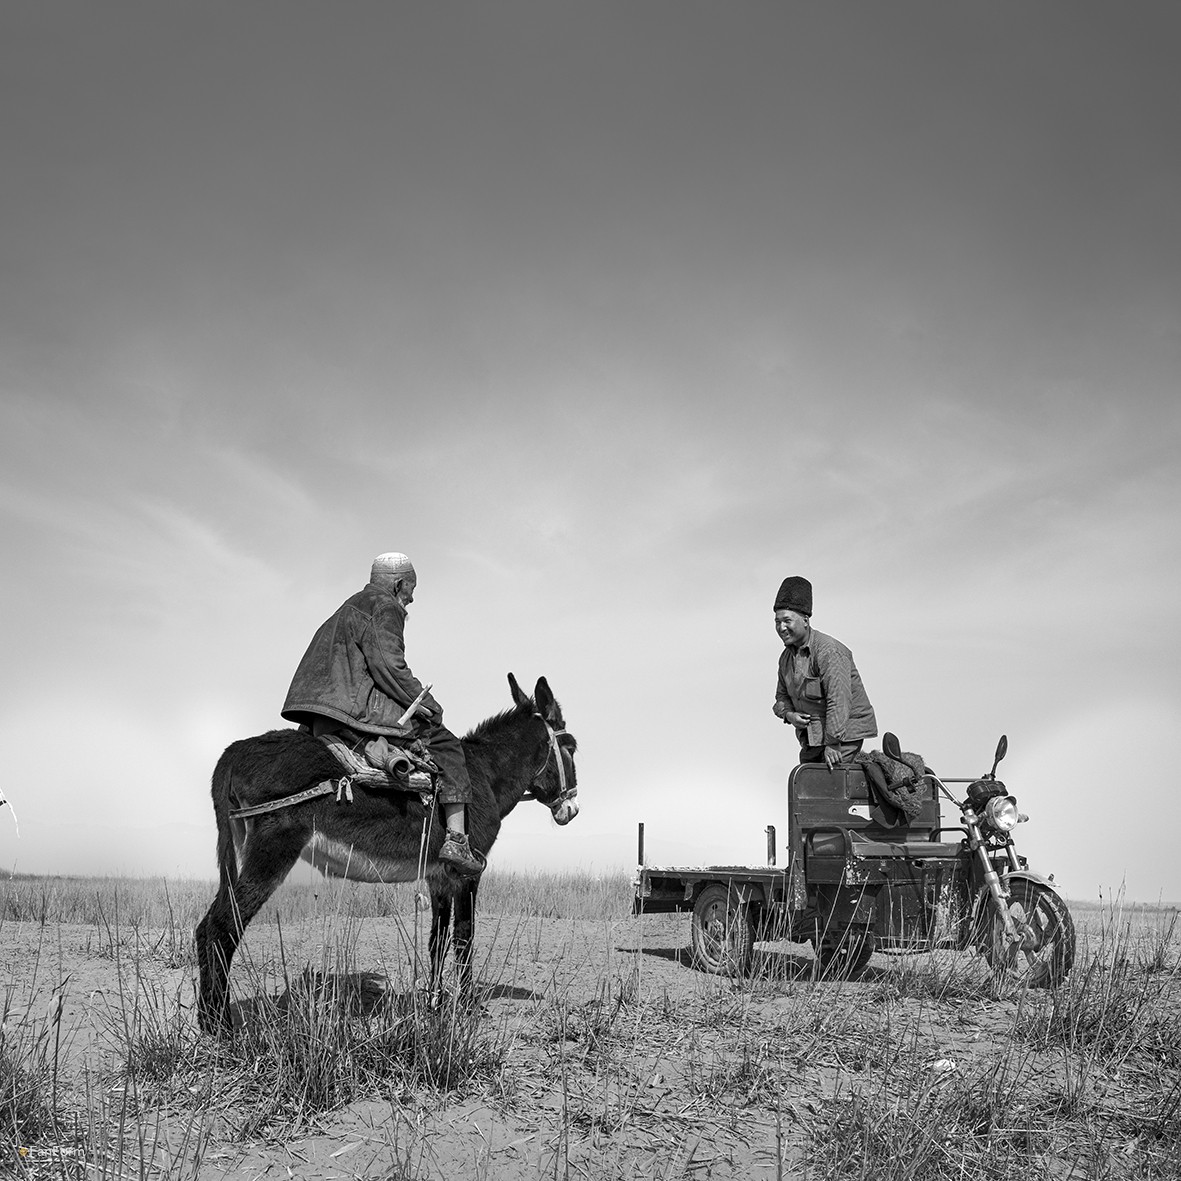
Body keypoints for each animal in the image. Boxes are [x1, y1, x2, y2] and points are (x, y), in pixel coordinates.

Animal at [195, 674, 578, 1033]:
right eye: (572, 748)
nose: (571, 810)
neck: (485, 775)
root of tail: (233, 751)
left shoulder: (438, 877)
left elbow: (437, 940)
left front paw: (436, 1004)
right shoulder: (468, 873)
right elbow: (464, 936)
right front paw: (468, 1007)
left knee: (207, 928)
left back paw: (208, 1021)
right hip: (272, 850)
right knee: (220, 927)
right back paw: (221, 1028)